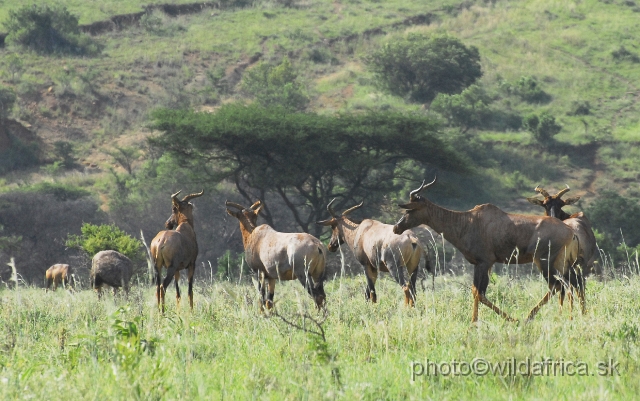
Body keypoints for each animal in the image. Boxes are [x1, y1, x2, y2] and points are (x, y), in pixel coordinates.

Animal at [390, 177, 584, 324]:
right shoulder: (486, 265)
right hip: (562, 263)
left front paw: (483, 322)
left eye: (411, 209)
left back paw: (528, 318)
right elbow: (477, 291)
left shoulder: (483, 263)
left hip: (544, 262)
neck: (469, 220)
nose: (396, 228)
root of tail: (571, 232)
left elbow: (478, 292)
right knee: (571, 284)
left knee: (557, 286)